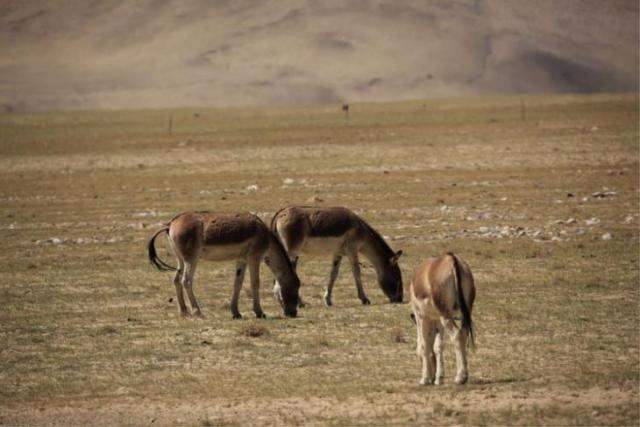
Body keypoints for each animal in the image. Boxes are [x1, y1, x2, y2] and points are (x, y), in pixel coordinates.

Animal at [149, 212, 302, 320]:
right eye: (295, 286)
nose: (293, 313)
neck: (265, 236)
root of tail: (171, 224)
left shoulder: (241, 260)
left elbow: (237, 284)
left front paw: (236, 313)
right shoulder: (254, 258)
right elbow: (255, 283)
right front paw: (259, 312)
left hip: (180, 259)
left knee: (176, 280)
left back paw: (184, 311)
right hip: (191, 259)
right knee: (186, 281)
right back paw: (197, 311)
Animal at [272, 206, 402, 308]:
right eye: (397, 277)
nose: (399, 300)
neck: (361, 229)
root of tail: (281, 212)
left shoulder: (338, 254)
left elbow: (333, 274)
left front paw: (328, 300)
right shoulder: (352, 251)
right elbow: (357, 272)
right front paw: (364, 299)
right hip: (292, 252)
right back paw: (295, 302)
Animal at [410, 252, 476, 386]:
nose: (431, 378)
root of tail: (451, 258)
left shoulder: (421, 317)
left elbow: (424, 346)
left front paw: (424, 379)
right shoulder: (437, 321)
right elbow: (438, 346)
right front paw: (439, 378)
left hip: (446, 317)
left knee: (457, 335)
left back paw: (460, 377)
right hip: (462, 314)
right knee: (464, 333)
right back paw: (464, 376)